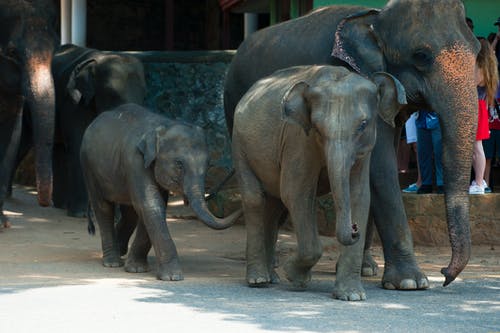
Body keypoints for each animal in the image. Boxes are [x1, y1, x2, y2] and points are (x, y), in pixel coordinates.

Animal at [82, 103, 242, 280]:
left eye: (208, 164)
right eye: (179, 164)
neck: (164, 125)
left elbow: (153, 206)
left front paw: (137, 269)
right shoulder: (135, 161)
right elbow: (150, 204)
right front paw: (172, 277)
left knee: (129, 212)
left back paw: (121, 251)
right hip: (89, 167)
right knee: (103, 207)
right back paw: (112, 262)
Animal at [233, 64, 406, 298]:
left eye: (363, 125)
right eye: (317, 127)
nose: (354, 229)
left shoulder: (365, 150)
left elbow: (359, 195)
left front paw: (351, 296)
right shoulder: (297, 139)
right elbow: (296, 192)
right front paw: (295, 276)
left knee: (274, 206)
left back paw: (272, 278)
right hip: (240, 145)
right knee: (255, 200)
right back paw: (259, 280)